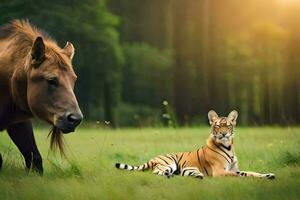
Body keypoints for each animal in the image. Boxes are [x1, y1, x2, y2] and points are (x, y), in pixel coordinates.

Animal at [116, 110, 276, 179]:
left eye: (228, 125)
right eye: (218, 126)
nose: (224, 134)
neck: (228, 147)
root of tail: (154, 158)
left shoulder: (235, 168)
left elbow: (249, 172)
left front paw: (268, 175)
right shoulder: (219, 171)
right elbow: (237, 175)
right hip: (169, 162)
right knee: (157, 171)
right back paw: (169, 175)